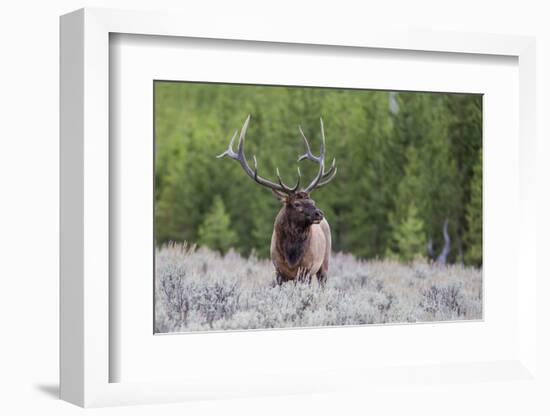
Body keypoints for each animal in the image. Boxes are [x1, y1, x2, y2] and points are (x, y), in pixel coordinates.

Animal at [218, 116, 338, 286]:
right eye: (296, 204)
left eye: (313, 201)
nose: (319, 213)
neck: (291, 257)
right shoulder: (279, 271)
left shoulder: (307, 270)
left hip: (324, 264)